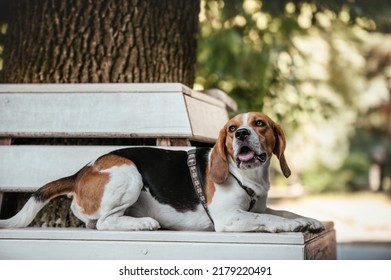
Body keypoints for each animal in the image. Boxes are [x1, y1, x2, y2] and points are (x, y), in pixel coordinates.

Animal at [0, 112, 324, 233]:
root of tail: (81, 172)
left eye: (259, 123)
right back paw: (143, 223)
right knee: (103, 223)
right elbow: (269, 218)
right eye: (232, 129)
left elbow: (281, 211)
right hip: (130, 174)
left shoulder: (258, 205)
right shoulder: (228, 218)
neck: (247, 177)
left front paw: (308, 220)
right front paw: (293, 226)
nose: (242, 134)